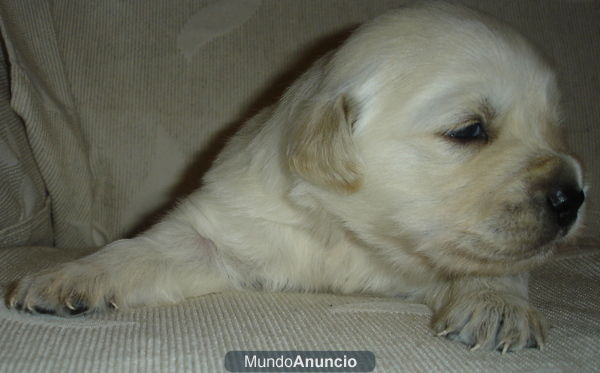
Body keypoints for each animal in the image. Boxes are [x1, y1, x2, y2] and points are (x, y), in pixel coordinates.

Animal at [7, 2, 584, 352]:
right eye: (469, 130)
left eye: (556, 130)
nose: (573, 196)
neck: (348, 232)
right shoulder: (221, 226)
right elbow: (137, 250)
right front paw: (64, 277)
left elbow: (497, 264)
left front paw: (496, 305)